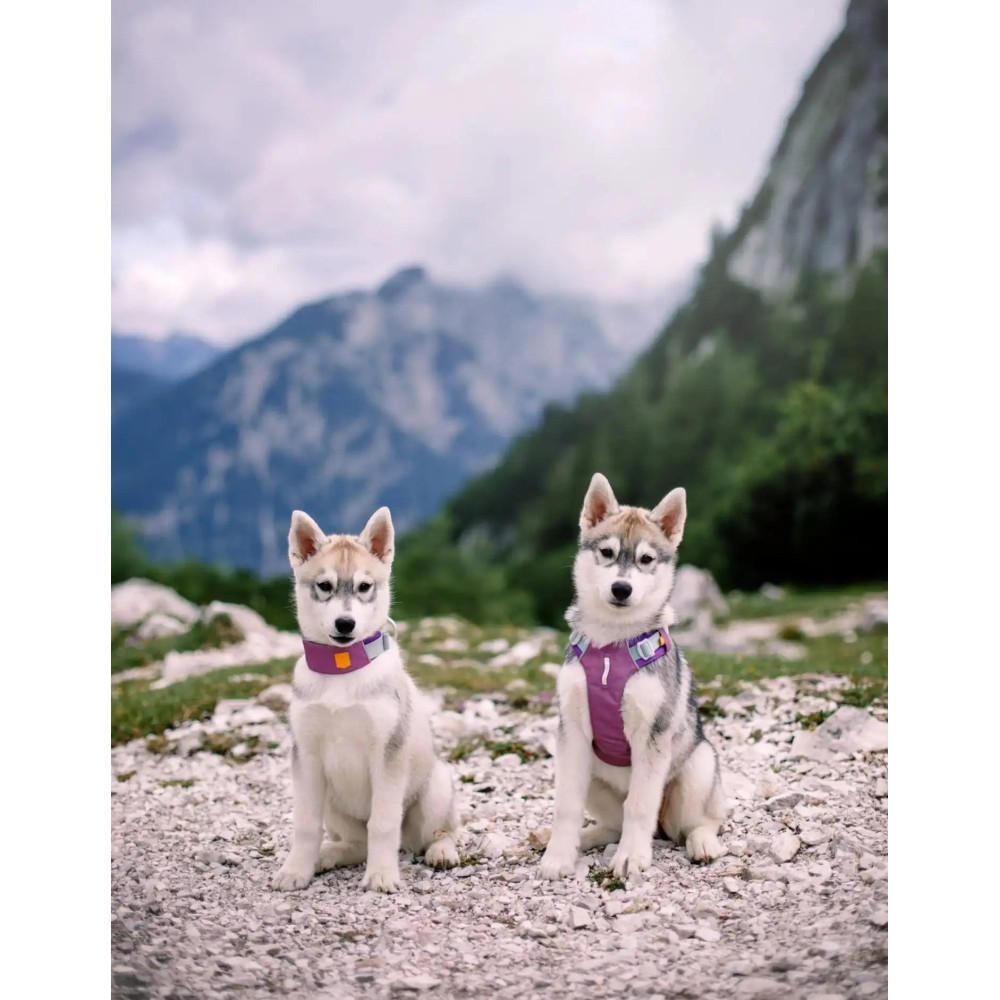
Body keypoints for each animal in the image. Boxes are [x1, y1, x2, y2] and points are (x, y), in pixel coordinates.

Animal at [272, 506, 460, 893]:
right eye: (324, 586)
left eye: (364, 586)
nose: (345, 624)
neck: (342, 670)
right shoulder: (306, 757)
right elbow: (305, 825)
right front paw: (296, 870)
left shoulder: (387, 753)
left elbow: (383, 824)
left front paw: (382, 874)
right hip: (332, 802)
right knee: (356, 843)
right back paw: (327, 855)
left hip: (435, 788)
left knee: (439, 831)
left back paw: (441, 852)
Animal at [539, 473, 727, 880]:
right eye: (607, 553)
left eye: (646, 559)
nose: (621, 588)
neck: (612, 645)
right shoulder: (572, 732)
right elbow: (566, 806)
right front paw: (558, 857)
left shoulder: (652, 734)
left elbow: (640, 806)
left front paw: (631, 857)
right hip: (591, 775)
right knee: (612, 823)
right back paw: (587, 837)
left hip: (698, 766)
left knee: (699, 821)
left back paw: (702, 842)